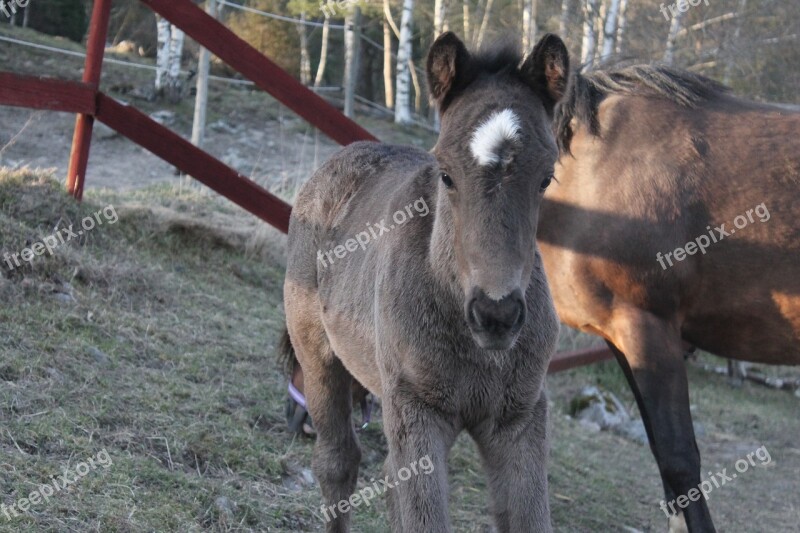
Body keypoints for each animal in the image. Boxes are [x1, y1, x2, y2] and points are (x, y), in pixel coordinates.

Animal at [282, 33, 568, 532]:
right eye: (446, 175)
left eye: (546, 179)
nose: (496, 315)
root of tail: (346, 154)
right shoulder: (416, 412)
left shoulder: (520, 420)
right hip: (317, 355)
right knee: (337, 463)